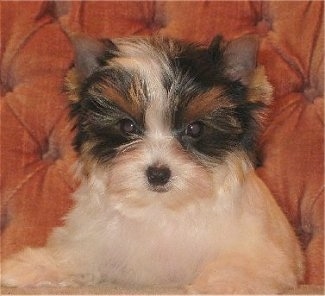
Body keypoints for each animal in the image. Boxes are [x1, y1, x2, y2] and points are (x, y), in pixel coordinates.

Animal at [1, 34, 302, 294]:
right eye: (127, 126)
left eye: (195, 129)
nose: (158, 174)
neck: (161, 208)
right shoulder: (95, 242)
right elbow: (74, 254)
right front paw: (31, 267)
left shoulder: (260, 253)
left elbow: (241, 266)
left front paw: (220, 285)